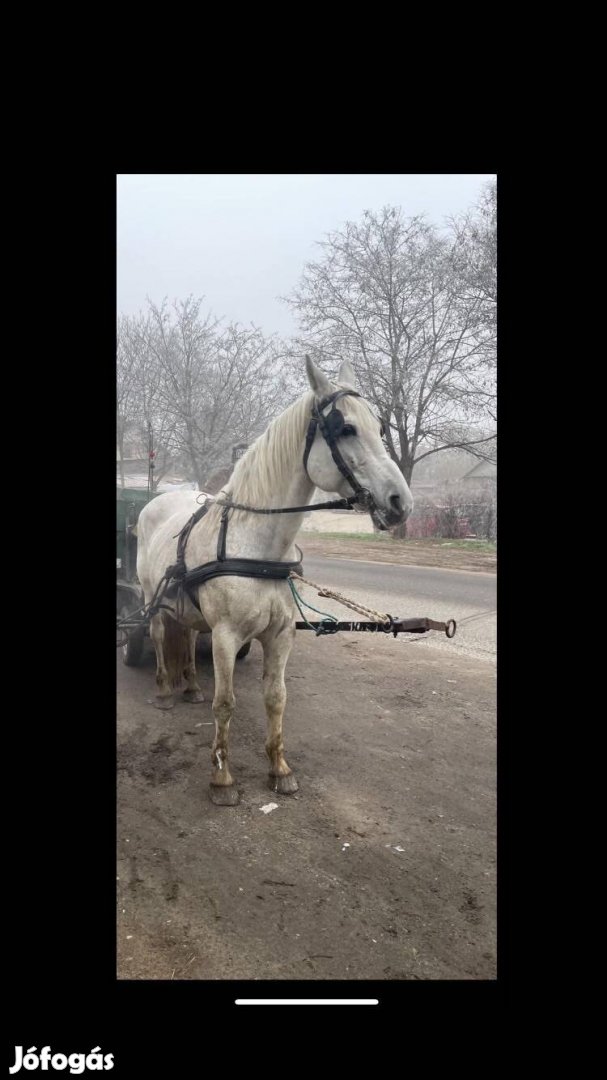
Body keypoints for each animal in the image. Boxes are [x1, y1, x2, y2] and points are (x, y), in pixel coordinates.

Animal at [136, 358, 410, 807]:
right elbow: (225, 703)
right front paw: (222, 777)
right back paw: (163, 691)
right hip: (150, 596)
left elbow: (276, 698)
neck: (257, 545)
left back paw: (190, 686)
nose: (400, 502)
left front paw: (280, 768)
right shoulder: (227, 636)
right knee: (160, 634)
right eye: (345, 429)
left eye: (380, 428)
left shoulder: (281, 635)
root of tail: (157, 500)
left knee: (190, 637)